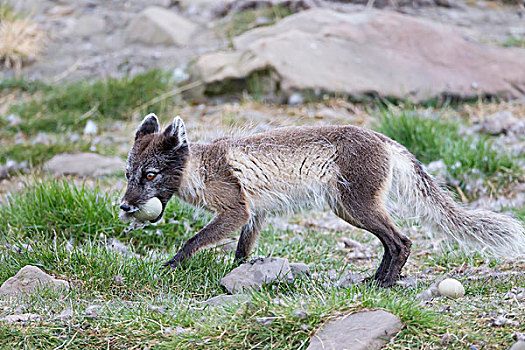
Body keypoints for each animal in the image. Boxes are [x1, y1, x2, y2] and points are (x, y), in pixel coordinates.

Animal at [119, 114, 524, 288]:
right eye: (128, 174)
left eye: (150, 175)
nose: (124, 206)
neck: (200, 170)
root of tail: (387, 140)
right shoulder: (255, 214)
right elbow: (242, 252)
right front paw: (240, 274)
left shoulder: (235, 210)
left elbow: (193, 240)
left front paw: (171, 266)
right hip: (349, 209)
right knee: (392, 243)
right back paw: (375, 279)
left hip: (356, 207)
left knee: (402, 241)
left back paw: (385, 285)